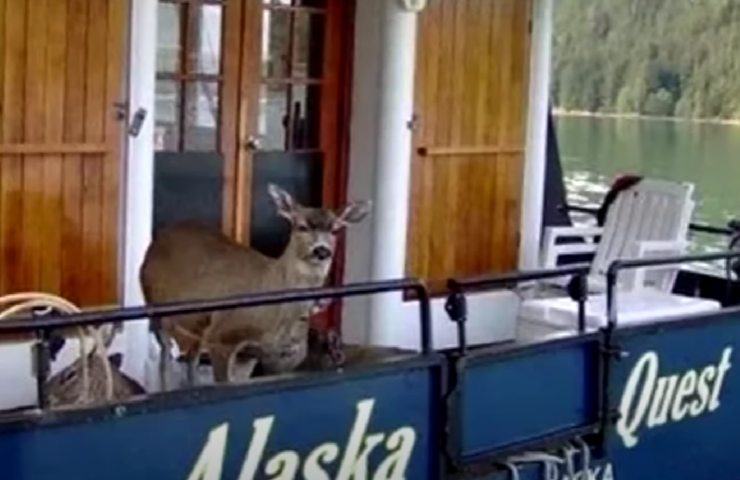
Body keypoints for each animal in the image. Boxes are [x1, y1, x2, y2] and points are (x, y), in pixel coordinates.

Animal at [138, 184, 370, 390]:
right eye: (301, 226)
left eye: (336, 230)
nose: (321, 251)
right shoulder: (223, 336)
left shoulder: (263, 355)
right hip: (154, 305)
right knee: (165, 355)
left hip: (197, 324)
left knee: (190, 359)